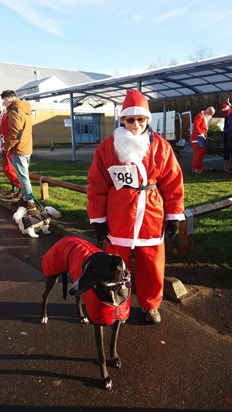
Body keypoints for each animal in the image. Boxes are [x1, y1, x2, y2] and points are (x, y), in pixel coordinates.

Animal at [40, 237, 130, 392]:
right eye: (83, 268)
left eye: (95, 270)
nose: (71, 290)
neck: (113, 288)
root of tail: (64, 238)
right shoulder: (98, 324)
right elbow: (101, 355)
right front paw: (105, 378)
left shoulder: (118, 317)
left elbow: (113, 341)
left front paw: (115, 358)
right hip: (56, 276)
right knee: (45, 295)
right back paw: (44, 316)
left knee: (77, 298)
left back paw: (82, 316)